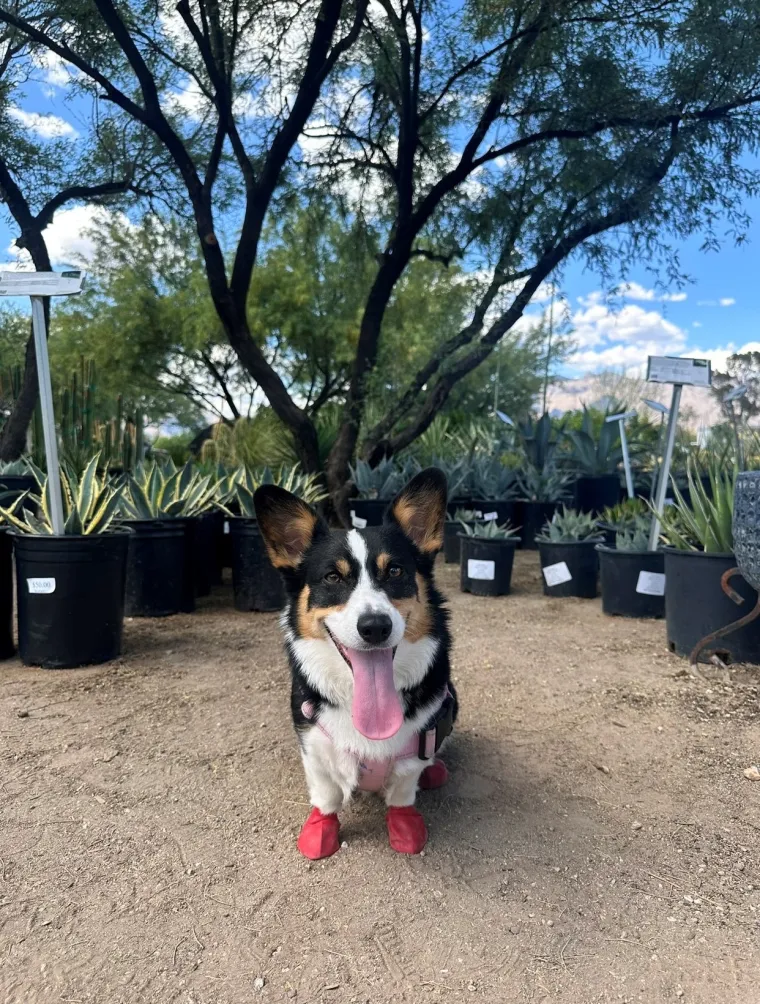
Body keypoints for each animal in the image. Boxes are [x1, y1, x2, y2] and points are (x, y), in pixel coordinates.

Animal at [255, 467, 455, 855]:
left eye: (395, 571)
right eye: (333, 577)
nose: (375, 626)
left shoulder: (416, 748)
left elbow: (403, 790)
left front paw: (404, 825)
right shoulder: (313, 744)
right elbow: (327, 794)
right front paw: (321, 830)